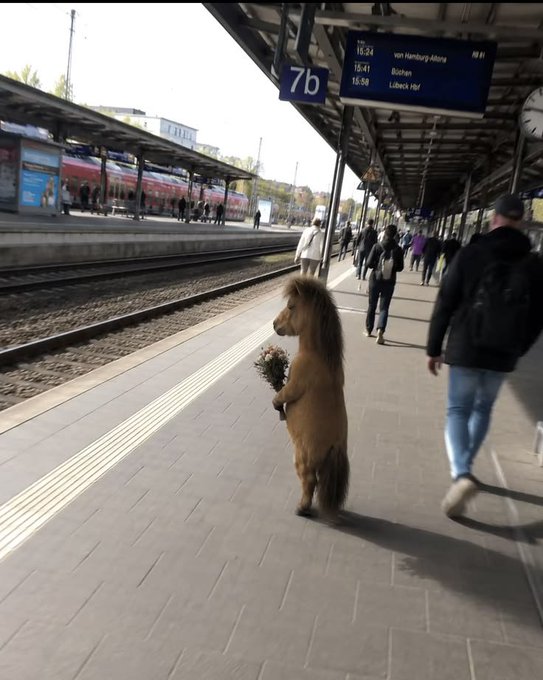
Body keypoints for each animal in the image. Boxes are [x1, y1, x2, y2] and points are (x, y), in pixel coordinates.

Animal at [272, 275, 349, 518]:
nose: (274, 324)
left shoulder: (296, 380)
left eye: (291, 306)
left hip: (302, 458)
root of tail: (334, 444)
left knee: (309, 482)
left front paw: (277, 402)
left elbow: (285, 392)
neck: (318, 355)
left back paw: (302, 508)